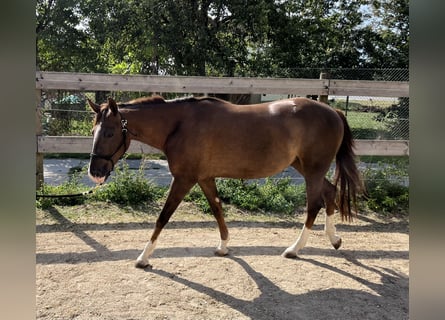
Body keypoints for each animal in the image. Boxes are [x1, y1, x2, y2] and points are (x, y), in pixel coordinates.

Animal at [86, 94, 360, 268]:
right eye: (93, 131)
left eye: (109, 132)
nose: (95, 172)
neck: (180, 125)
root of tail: (333, 112)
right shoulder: (205, 178)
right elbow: (217, 208)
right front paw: (223, 246)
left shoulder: (184, 179)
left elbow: (163, 217)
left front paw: (143, 257)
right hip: (305, 167)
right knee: (330, 193)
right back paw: (334, 240)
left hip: (313, 170)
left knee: (314, 205)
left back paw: (294, 249)